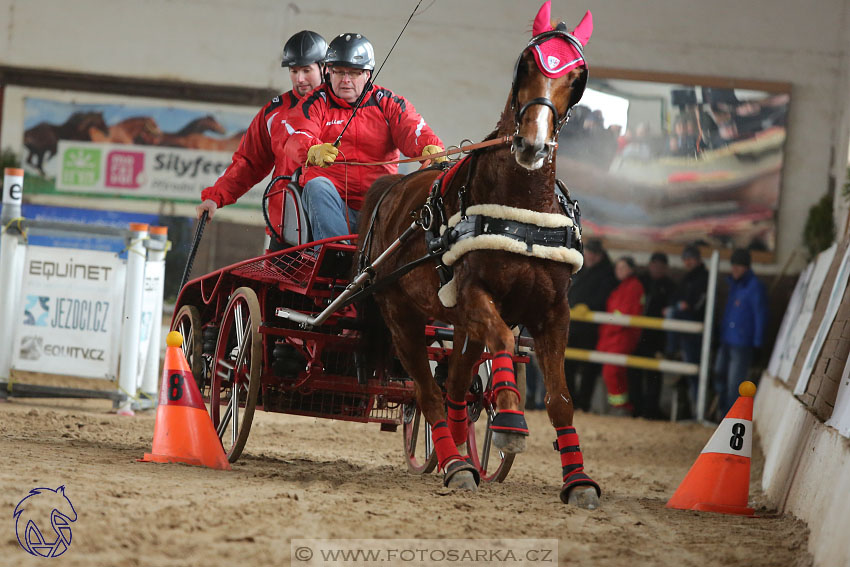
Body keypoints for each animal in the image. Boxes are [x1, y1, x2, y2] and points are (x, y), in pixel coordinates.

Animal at [356, 6, 596, 506]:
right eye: (526, 64)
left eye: (576, 77)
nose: (532, 145)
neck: (521, 207)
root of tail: (390, 189)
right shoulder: (474, 295)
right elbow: (502, 340)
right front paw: (510, 424)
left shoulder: (553, 310)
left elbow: (561, 400)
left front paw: (579, 479)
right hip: (402, 317)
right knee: (428, 393)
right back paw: (455, 464)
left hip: (459, 325)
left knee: (455, 385)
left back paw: (464, 452)